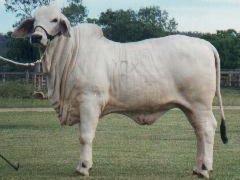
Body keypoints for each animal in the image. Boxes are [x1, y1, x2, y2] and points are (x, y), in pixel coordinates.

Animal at [12, 5, 228, 179]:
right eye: (34, 21)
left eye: (55, 20)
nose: (36, 37)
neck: (69, 55)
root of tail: (205, 44)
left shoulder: (89, 101)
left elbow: (85, 136)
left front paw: (83, 167)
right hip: (190, 107)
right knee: (199, 132)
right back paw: (198, 167)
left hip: (200, 105)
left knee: (207, 129)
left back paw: (205, 169)